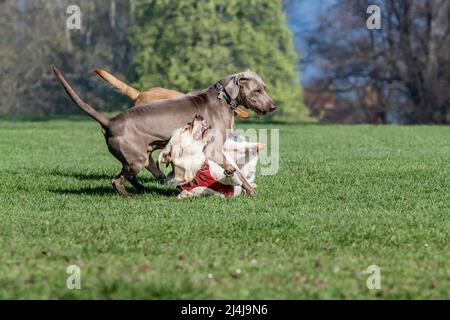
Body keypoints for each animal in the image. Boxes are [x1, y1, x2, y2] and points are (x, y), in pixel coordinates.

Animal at [53, 67, 278, 196]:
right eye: (257, 90)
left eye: (264, 87)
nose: (273, 106)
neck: (223, 98)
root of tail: (109, 122)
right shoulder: (213, 149)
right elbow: (236, 170)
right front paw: (248, 189)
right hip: (136, 158)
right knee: (117, 180)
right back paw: (130, 195)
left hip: (140, 155)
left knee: (135, 174)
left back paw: (146, 189)